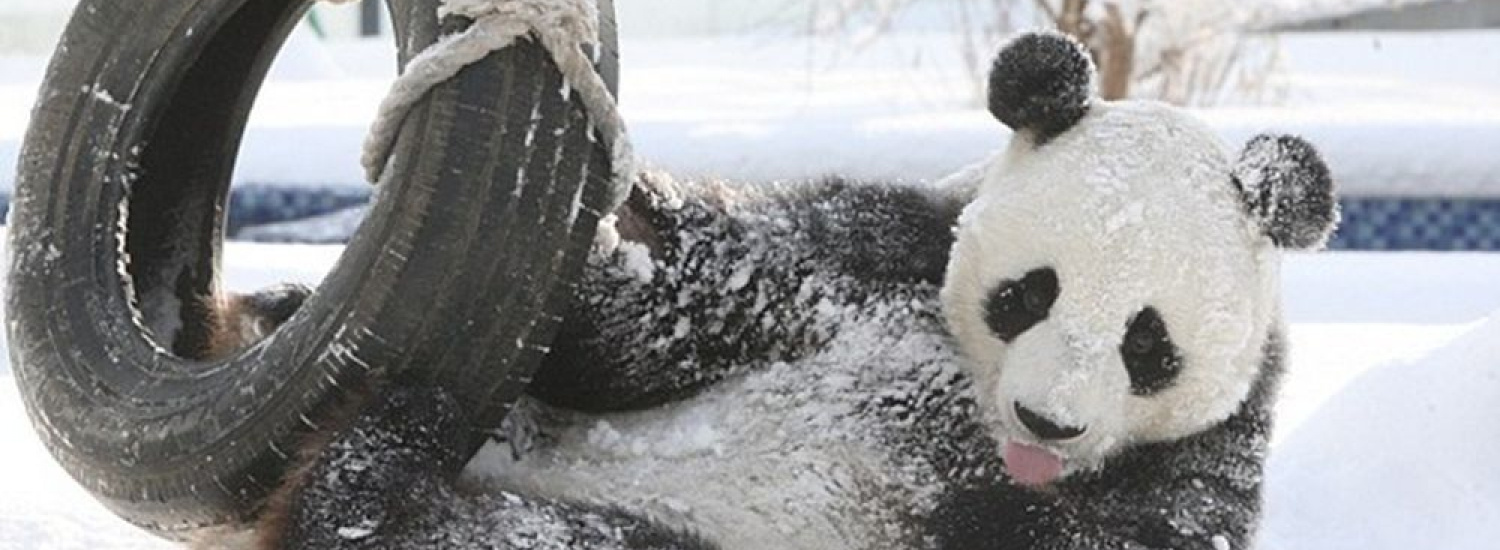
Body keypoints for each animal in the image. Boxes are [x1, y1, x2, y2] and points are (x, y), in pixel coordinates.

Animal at [240, 31, 1344, 550]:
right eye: (1026, 295)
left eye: (1146, 345)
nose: (1048, 422)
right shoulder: (878, 251)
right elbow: (684, 299)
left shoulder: (1196, 463)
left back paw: (382, 470)